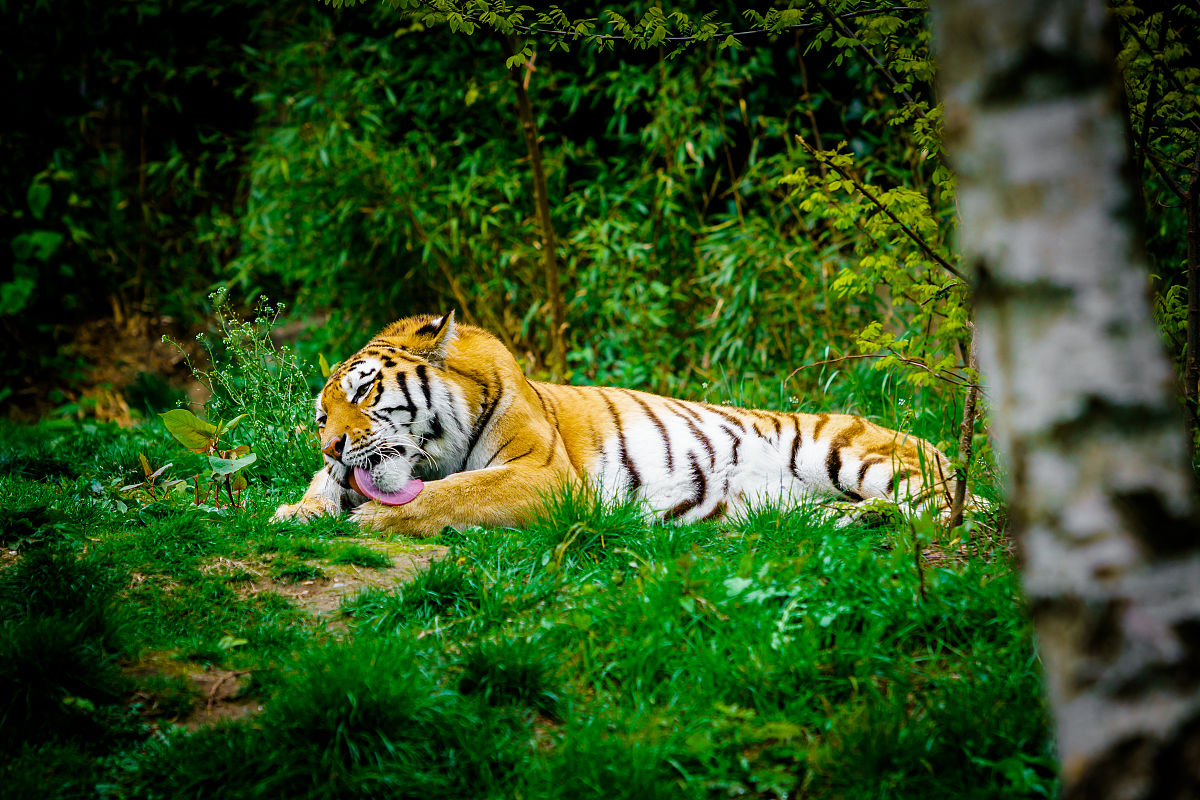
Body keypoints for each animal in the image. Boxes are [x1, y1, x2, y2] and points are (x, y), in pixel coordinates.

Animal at [271, 312, 961, 536]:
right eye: (321, 416)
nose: (332, 441)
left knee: (948, 509)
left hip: (850, 452)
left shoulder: (542, 475)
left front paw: (371, 518)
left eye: (364, 390)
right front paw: (296, 511)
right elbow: (323, 485)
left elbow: (451, 494)